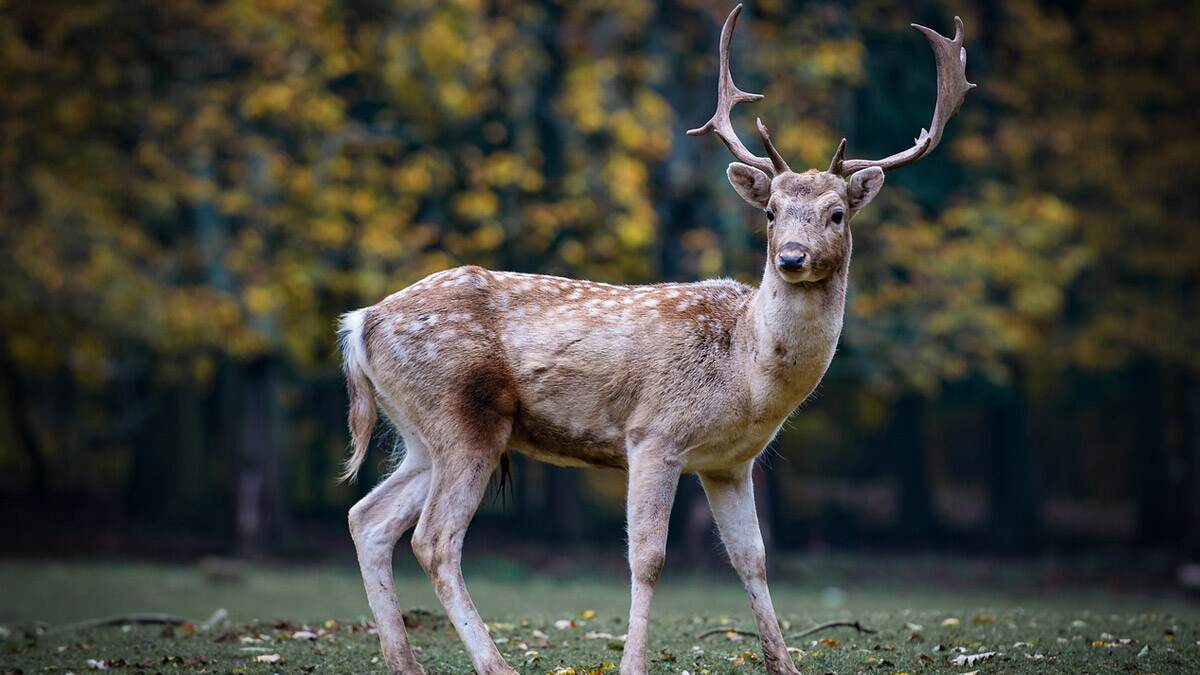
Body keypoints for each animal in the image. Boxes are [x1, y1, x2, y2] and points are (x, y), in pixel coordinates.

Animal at [340, 6, 974, 672]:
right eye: (770, 212)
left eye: (837, 213)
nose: (792, 257)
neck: (745, 374)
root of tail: (361, 323)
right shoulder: (653, 434)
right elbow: (648, 559)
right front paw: (632, 662)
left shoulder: (730, 463)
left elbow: (753, 559)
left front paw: (785, 662)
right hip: (463, 416)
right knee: (434, 539)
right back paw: (494, 663)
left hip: (422, 433)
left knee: (368, 517)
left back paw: (404, 660)